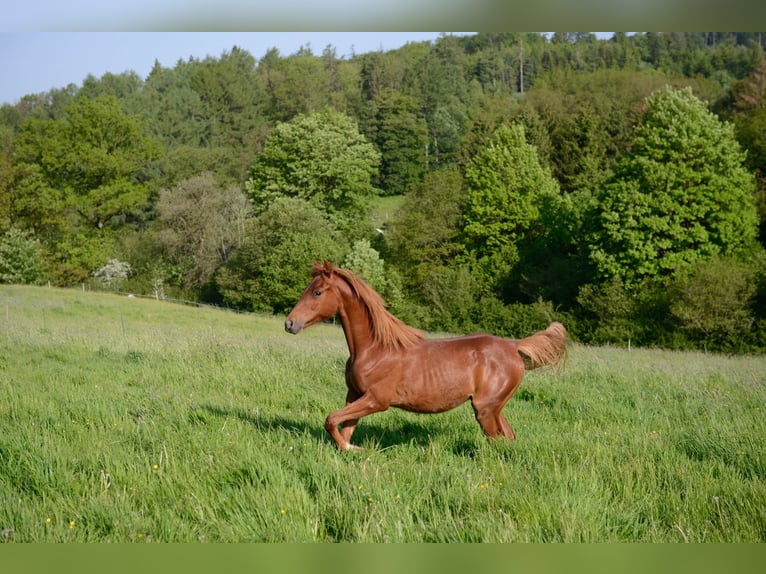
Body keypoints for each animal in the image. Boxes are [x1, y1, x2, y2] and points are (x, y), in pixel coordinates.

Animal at [284, 260, 568, 454]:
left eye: (317, 292)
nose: (290, 323)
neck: (374, 349)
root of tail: (513, 347)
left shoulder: (377, 400)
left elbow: (331, 420)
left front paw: (356, 450)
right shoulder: (354, 395)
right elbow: (343, 428)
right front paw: (352, 450)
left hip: (485, 409)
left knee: (496, 441)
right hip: (495, 407)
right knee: (508, 438)